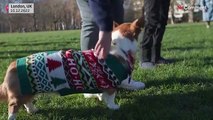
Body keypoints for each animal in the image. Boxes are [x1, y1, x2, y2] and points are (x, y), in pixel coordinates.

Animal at [0, 18, 145, 120]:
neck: (118, 46)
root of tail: (12, 64)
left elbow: (104, 94)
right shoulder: (112, 84)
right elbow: (113, 96)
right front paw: (115, 106)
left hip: (29, 91)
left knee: (27, 102)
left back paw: (33, 110)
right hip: (18, 96)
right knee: (13, 107)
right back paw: (13, 117)